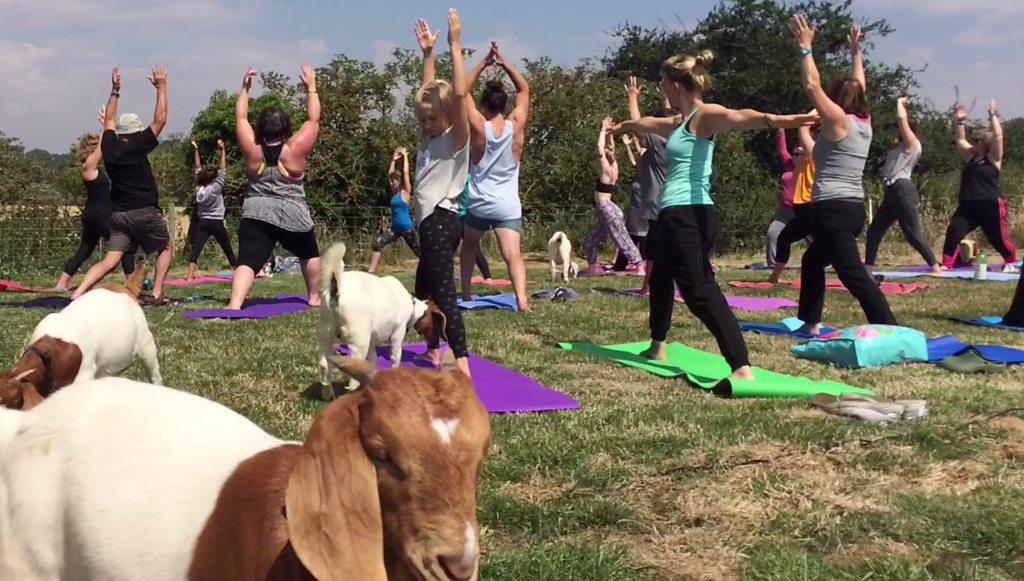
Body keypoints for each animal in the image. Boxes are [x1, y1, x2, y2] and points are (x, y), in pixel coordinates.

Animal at [317, 240, 446, 399]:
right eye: (434, 324)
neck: (412, 305)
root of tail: (337, 290)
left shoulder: (372, 341)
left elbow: (372, 359)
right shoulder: (398, 333)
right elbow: (395, 357)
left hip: (326, 330)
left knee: (324, 364)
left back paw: (328, 395)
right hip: (358, 340)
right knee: (352, 376)